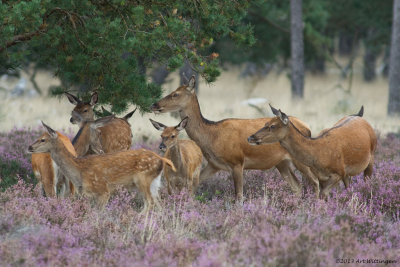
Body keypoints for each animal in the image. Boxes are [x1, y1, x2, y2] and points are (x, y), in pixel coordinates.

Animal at [28, 122, 176, 213]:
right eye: (39, 137)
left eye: (43, 139)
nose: (29, 147)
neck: (79, 171)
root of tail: (161, 159)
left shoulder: (103, 190)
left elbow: (98, 213)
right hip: (154, 182)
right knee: (159, 205)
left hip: (143, 179)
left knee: (150, 203)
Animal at [150, 75, 318, 201]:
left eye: (175, 94)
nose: (154, 104)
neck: (211, 136)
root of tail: (308, 128)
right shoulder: (214, 164)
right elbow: (195, 187)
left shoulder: (237, 161)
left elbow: (239, 197)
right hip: (282, 163)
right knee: (297, 186)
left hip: (301, 159)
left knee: (315, 182)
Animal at [248, 104, 376, 199]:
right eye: (266, 123)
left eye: (273, 126)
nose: (251, 137)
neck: (318, 155)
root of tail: (359, 115)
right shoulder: (322, 176)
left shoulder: (338, 172)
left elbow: (323, 194)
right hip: (347, 173)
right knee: (348, 187)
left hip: (371, 157)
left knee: (367, 182)